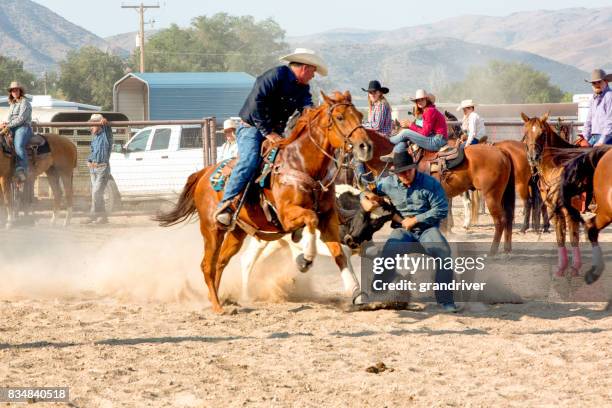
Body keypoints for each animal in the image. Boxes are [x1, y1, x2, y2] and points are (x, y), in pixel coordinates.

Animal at [155, 91, 376, 312]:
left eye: (359, 116)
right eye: (340, 117)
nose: (366, 147)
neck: (301, 165)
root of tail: (203, 173)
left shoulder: (328, 219)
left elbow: (339, 252)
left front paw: (356, 292)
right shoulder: (288, 216)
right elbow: (311, 219)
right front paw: (304, 260)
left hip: (237, 232)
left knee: (221, 262)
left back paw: (219, 298)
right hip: (211, 229)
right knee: (207, 265)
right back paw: (218, 307)